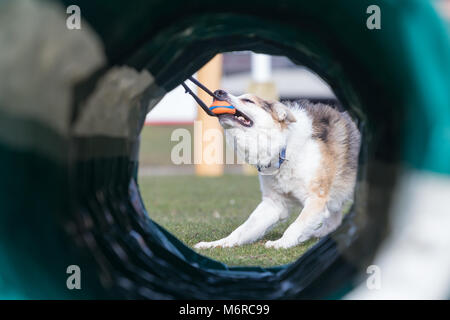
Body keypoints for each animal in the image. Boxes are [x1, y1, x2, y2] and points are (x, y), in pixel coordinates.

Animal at [195, 90, 360, 250]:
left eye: (248, 100)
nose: (218, 92)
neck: (284, 148)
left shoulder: (316, 199)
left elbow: (295, 226)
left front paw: (281, 243)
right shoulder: (273, 204)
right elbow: (242, 230)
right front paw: (217, 243)